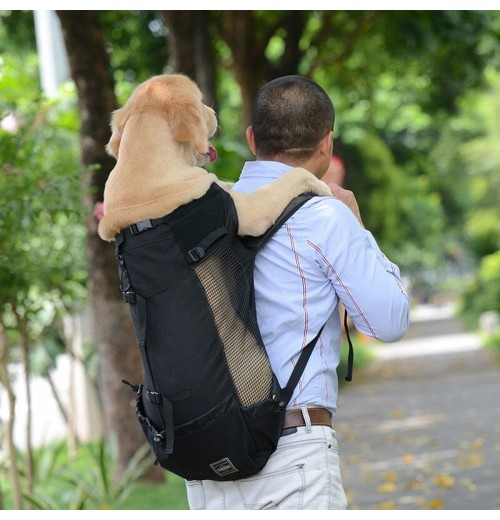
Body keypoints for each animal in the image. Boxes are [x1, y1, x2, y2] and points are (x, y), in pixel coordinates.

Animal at [97, 73, 332, 242]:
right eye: (201, 102)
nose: (213, 111)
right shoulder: (250, 212)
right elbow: (294, 176)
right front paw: (322, 185)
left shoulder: (212, 183)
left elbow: (226, 183)